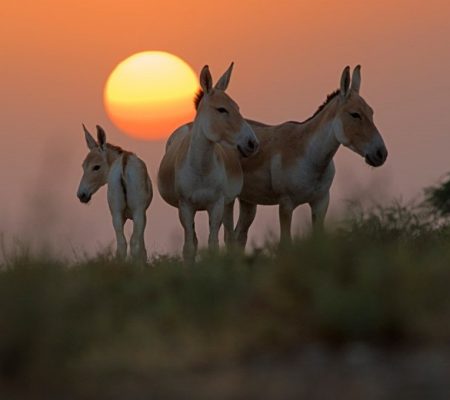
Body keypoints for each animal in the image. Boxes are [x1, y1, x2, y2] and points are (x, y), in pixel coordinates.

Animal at [77, 126, 153, 262]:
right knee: (133, 243)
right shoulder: (141, 213)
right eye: (83, 166)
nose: (81, 195)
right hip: (137, 212)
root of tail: (124, 162)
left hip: (117, 213)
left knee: (122, 245)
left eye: (96, 167)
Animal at [157, 64, 256, 260]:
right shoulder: (185, 207)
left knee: (229, 236)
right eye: (222, 109)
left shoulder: (216, 205)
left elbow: (213, 244)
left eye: (237, 107)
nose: (252, 143)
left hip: (228, 202)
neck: (201, 168)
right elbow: (189, 247)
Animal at [236, 65, 386, 247]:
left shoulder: (321, 202)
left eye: (371, 112)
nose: (381, 153)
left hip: (248, 200)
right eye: (354, 114)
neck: (310, 156)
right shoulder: (286, 204)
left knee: (238, 236)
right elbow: (285, 242)